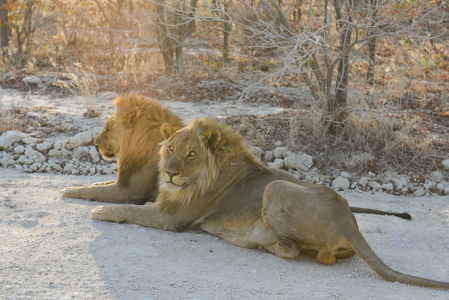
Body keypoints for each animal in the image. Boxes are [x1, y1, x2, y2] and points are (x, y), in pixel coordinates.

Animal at [88, 116, 448, 288]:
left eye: (191, 154)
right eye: (171, 149)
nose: (170, 173)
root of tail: (350, 222)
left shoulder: (170, 218)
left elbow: (130, 210)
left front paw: (101, 209)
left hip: (275, 187)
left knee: (301, 253)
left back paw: (256, 241)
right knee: (324, 256)